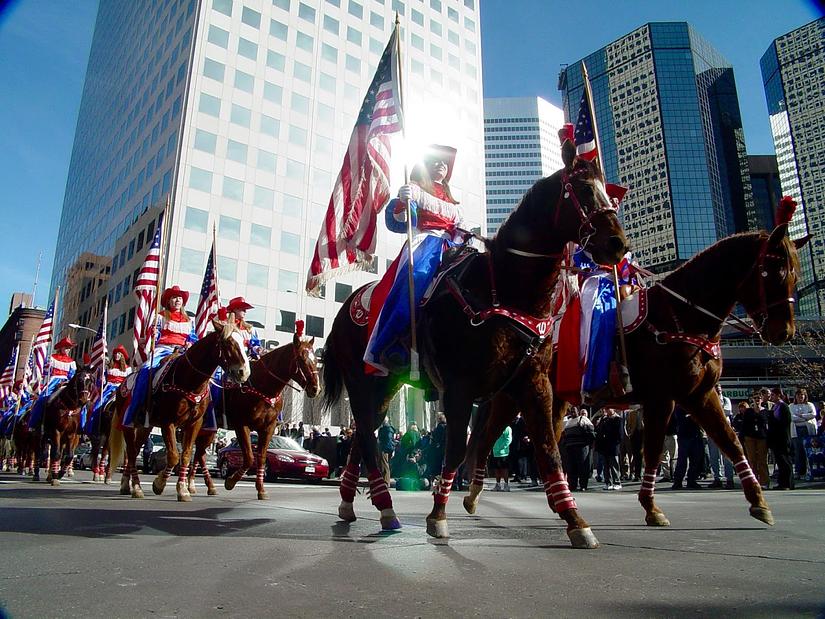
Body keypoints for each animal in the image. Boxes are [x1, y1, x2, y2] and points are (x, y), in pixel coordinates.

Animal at [109, 318, 251, 502]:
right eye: (228, 343)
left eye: (244, 343)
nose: (244, 372)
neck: (189, 380)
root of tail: (121, 387)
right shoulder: (167, 421)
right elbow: (173, 455)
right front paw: (159, 483)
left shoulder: (194, 424)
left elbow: (186, 455)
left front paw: (182, 489)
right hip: (128, 424)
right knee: (132, 452)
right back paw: (135, 487)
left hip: (145, 426)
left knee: (134, 450)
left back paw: (129, 485)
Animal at [188, 330, 320, 498]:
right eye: (302, 359)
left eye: (316, 360)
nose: (316, 388)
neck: (263, 386)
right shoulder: (242, 425)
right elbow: (250, 458)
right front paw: (230, 482)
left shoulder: (268, 428)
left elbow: (261, 458)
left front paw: (261, 489)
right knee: (197, 451)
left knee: (199, 453)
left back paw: (202, 486)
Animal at [320, 142, 624, 548]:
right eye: (584, 190)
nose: (617, 244)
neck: (505, 289)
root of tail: (345, 310)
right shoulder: (460, 387)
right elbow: (454, 451)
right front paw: (437, 516)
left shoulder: (534, 384)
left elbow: (549, 451)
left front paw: (576, 521)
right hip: (360, 382)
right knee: (367, 440)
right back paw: (385, 508)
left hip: (385, 385)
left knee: (362, 437)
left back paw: (354, 505)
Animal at [466, 225, 808, 536]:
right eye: (771, 272)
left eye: (796, 274)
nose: (784, 332)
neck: (682, 317)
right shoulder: (662, 398)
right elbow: (654, 449)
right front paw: (651, 507)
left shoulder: (699, 395)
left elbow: (731, 442)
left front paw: (759, 503)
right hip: (513, 396)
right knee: (488, 437)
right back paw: (473, 495)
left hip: (555, 398)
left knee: (546, 439)